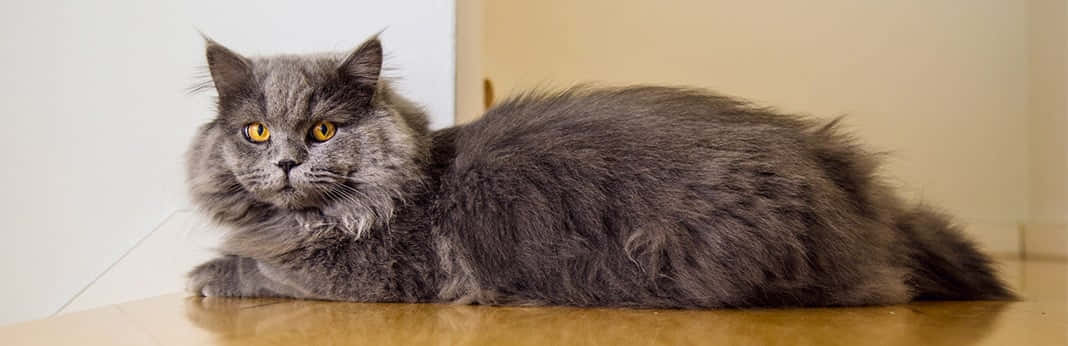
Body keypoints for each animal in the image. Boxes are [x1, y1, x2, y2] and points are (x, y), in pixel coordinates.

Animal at [187, 35, 1012, 307]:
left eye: (323, 130)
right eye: (256, 131)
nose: (287, 161)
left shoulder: (375, 276)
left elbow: (265, 271)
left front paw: (207, 274)